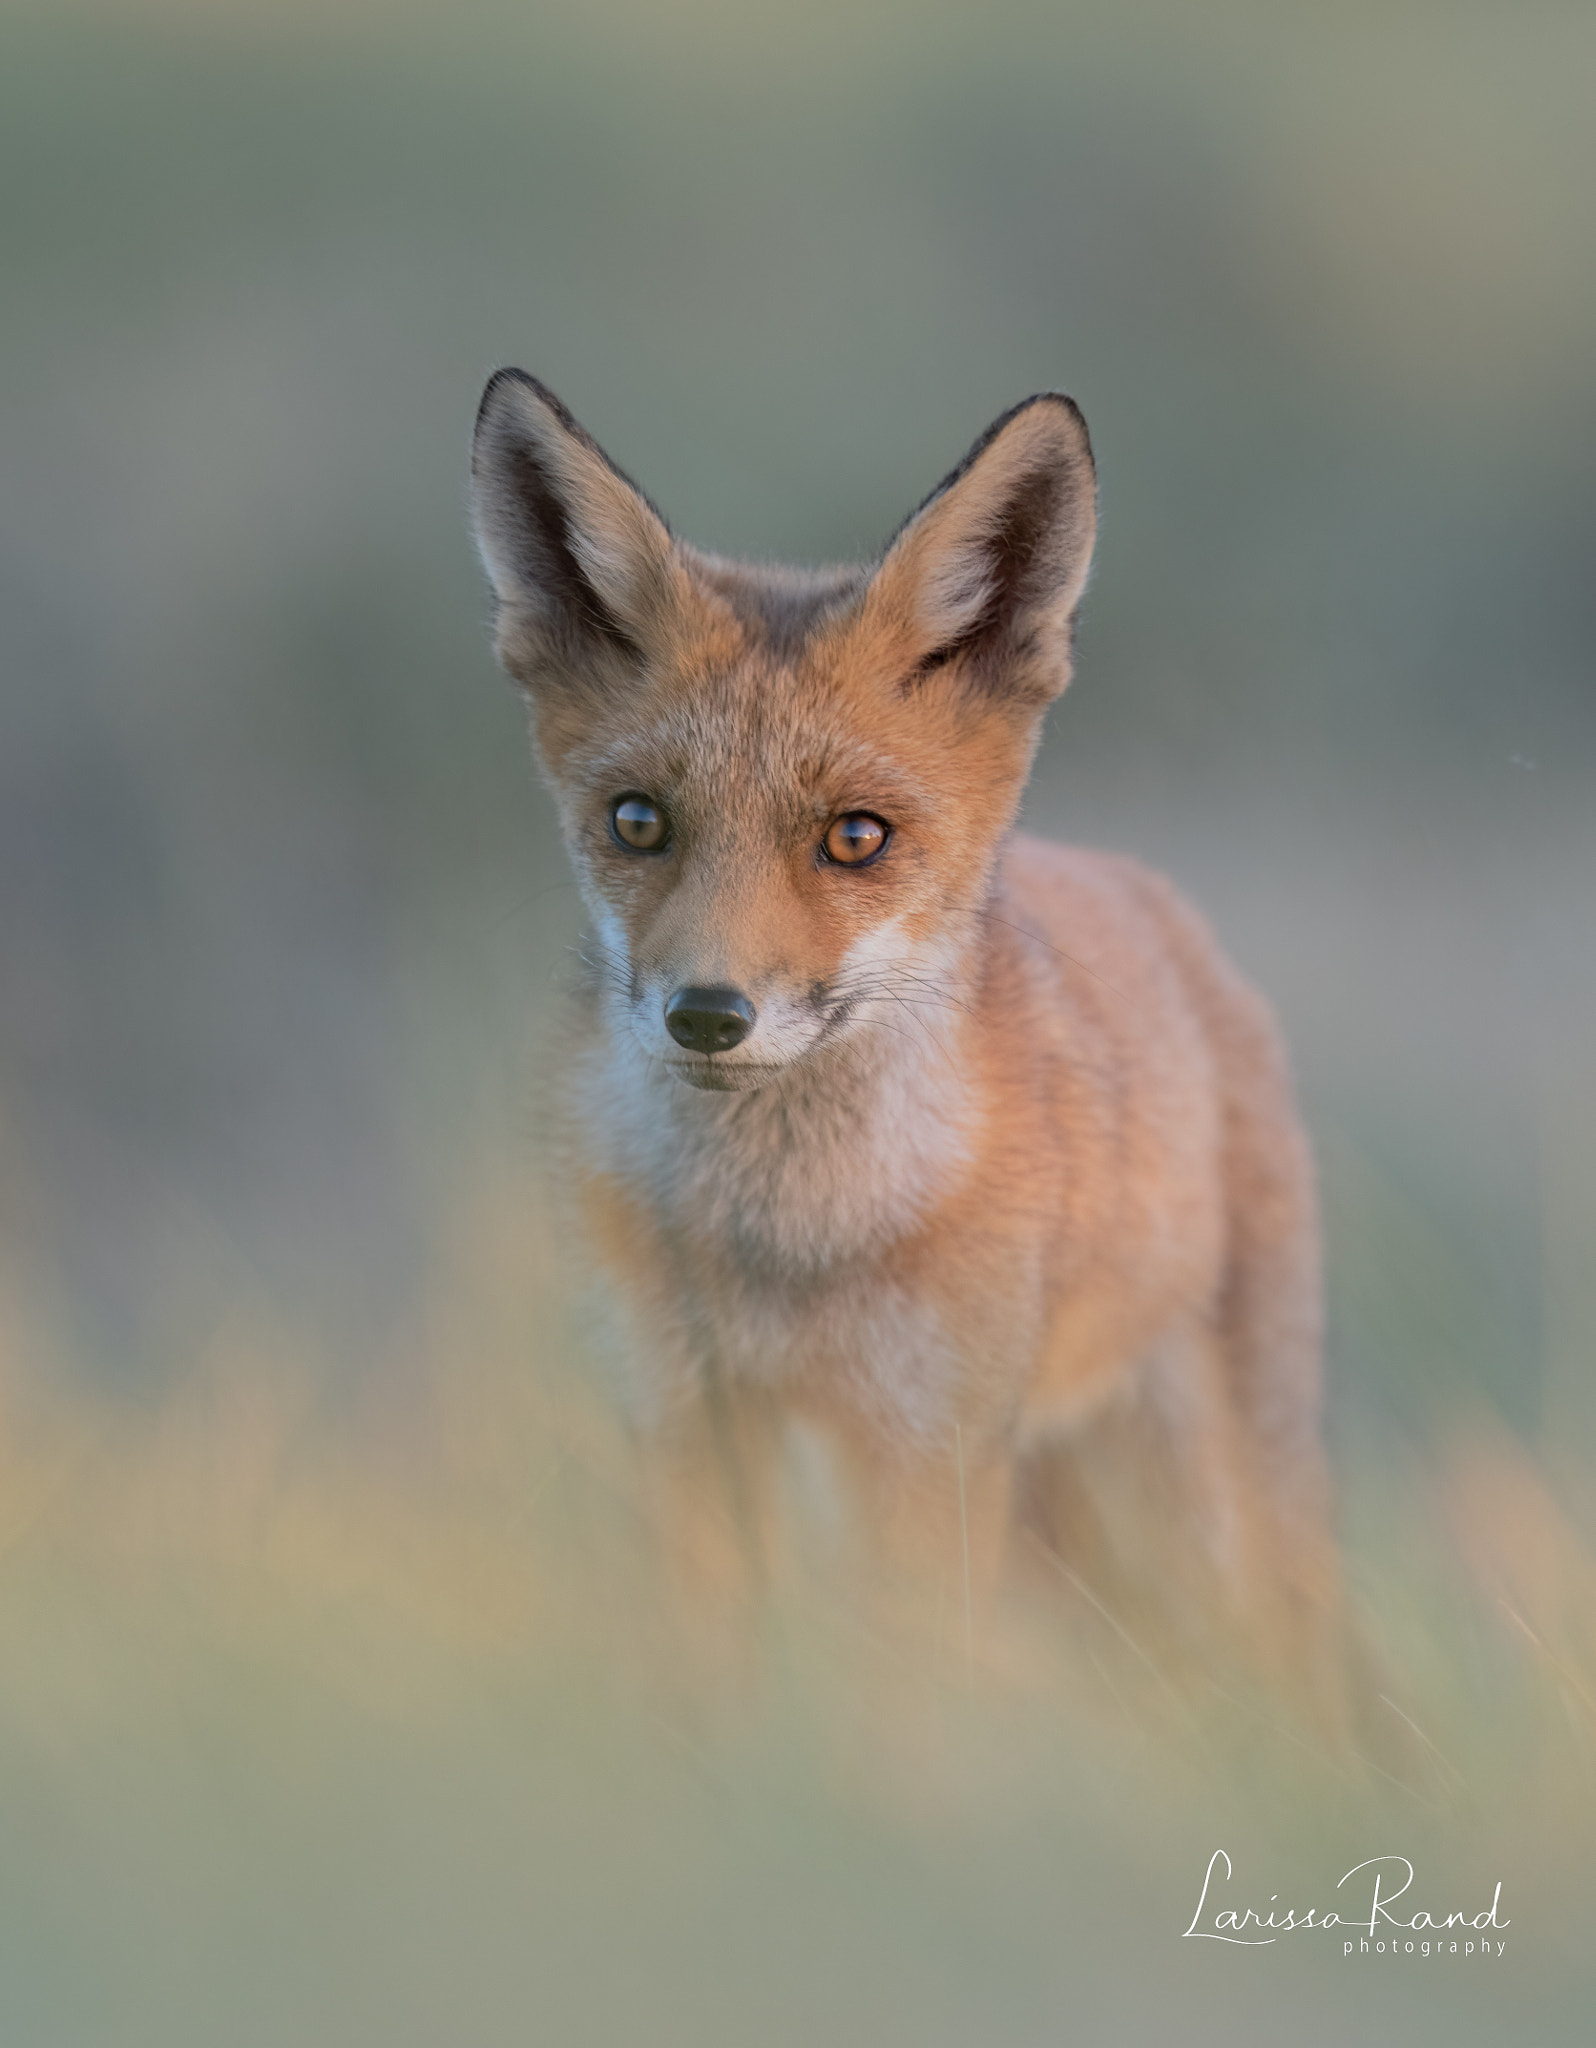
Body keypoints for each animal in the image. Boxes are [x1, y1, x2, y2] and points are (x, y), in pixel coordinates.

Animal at [469, 370, 1346, 1715]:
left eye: (856, 837)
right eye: (638, 821)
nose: (708, 1013)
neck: (786, 1238)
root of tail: (1160, 900)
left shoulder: (925, 1452)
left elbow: (907, 1708)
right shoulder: (684, 1419)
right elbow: (699, 1683)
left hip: (1215, 1499)